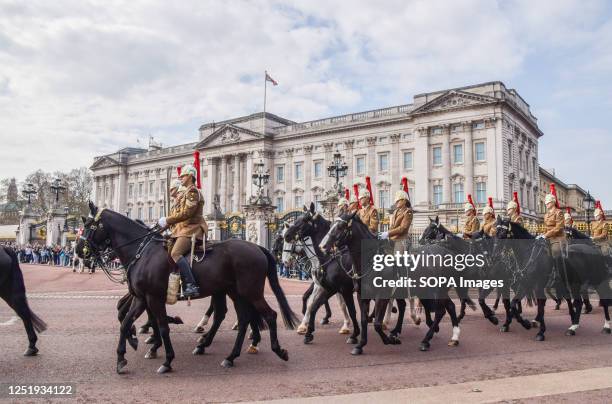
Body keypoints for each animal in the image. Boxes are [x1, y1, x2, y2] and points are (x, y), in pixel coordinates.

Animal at [77, 204, 298, 374]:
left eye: (88, 226)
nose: (80, 251)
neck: (142, 252)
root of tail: (258, 247)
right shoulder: (141, 298)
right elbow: (125, 322)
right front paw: (123, 357)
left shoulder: (153, 298)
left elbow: (161, 326)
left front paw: (166, 359)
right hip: (235, 292)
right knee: (241, 318)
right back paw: (228, 355)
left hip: (250, 291)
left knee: (269, 315)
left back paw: (277, 350)